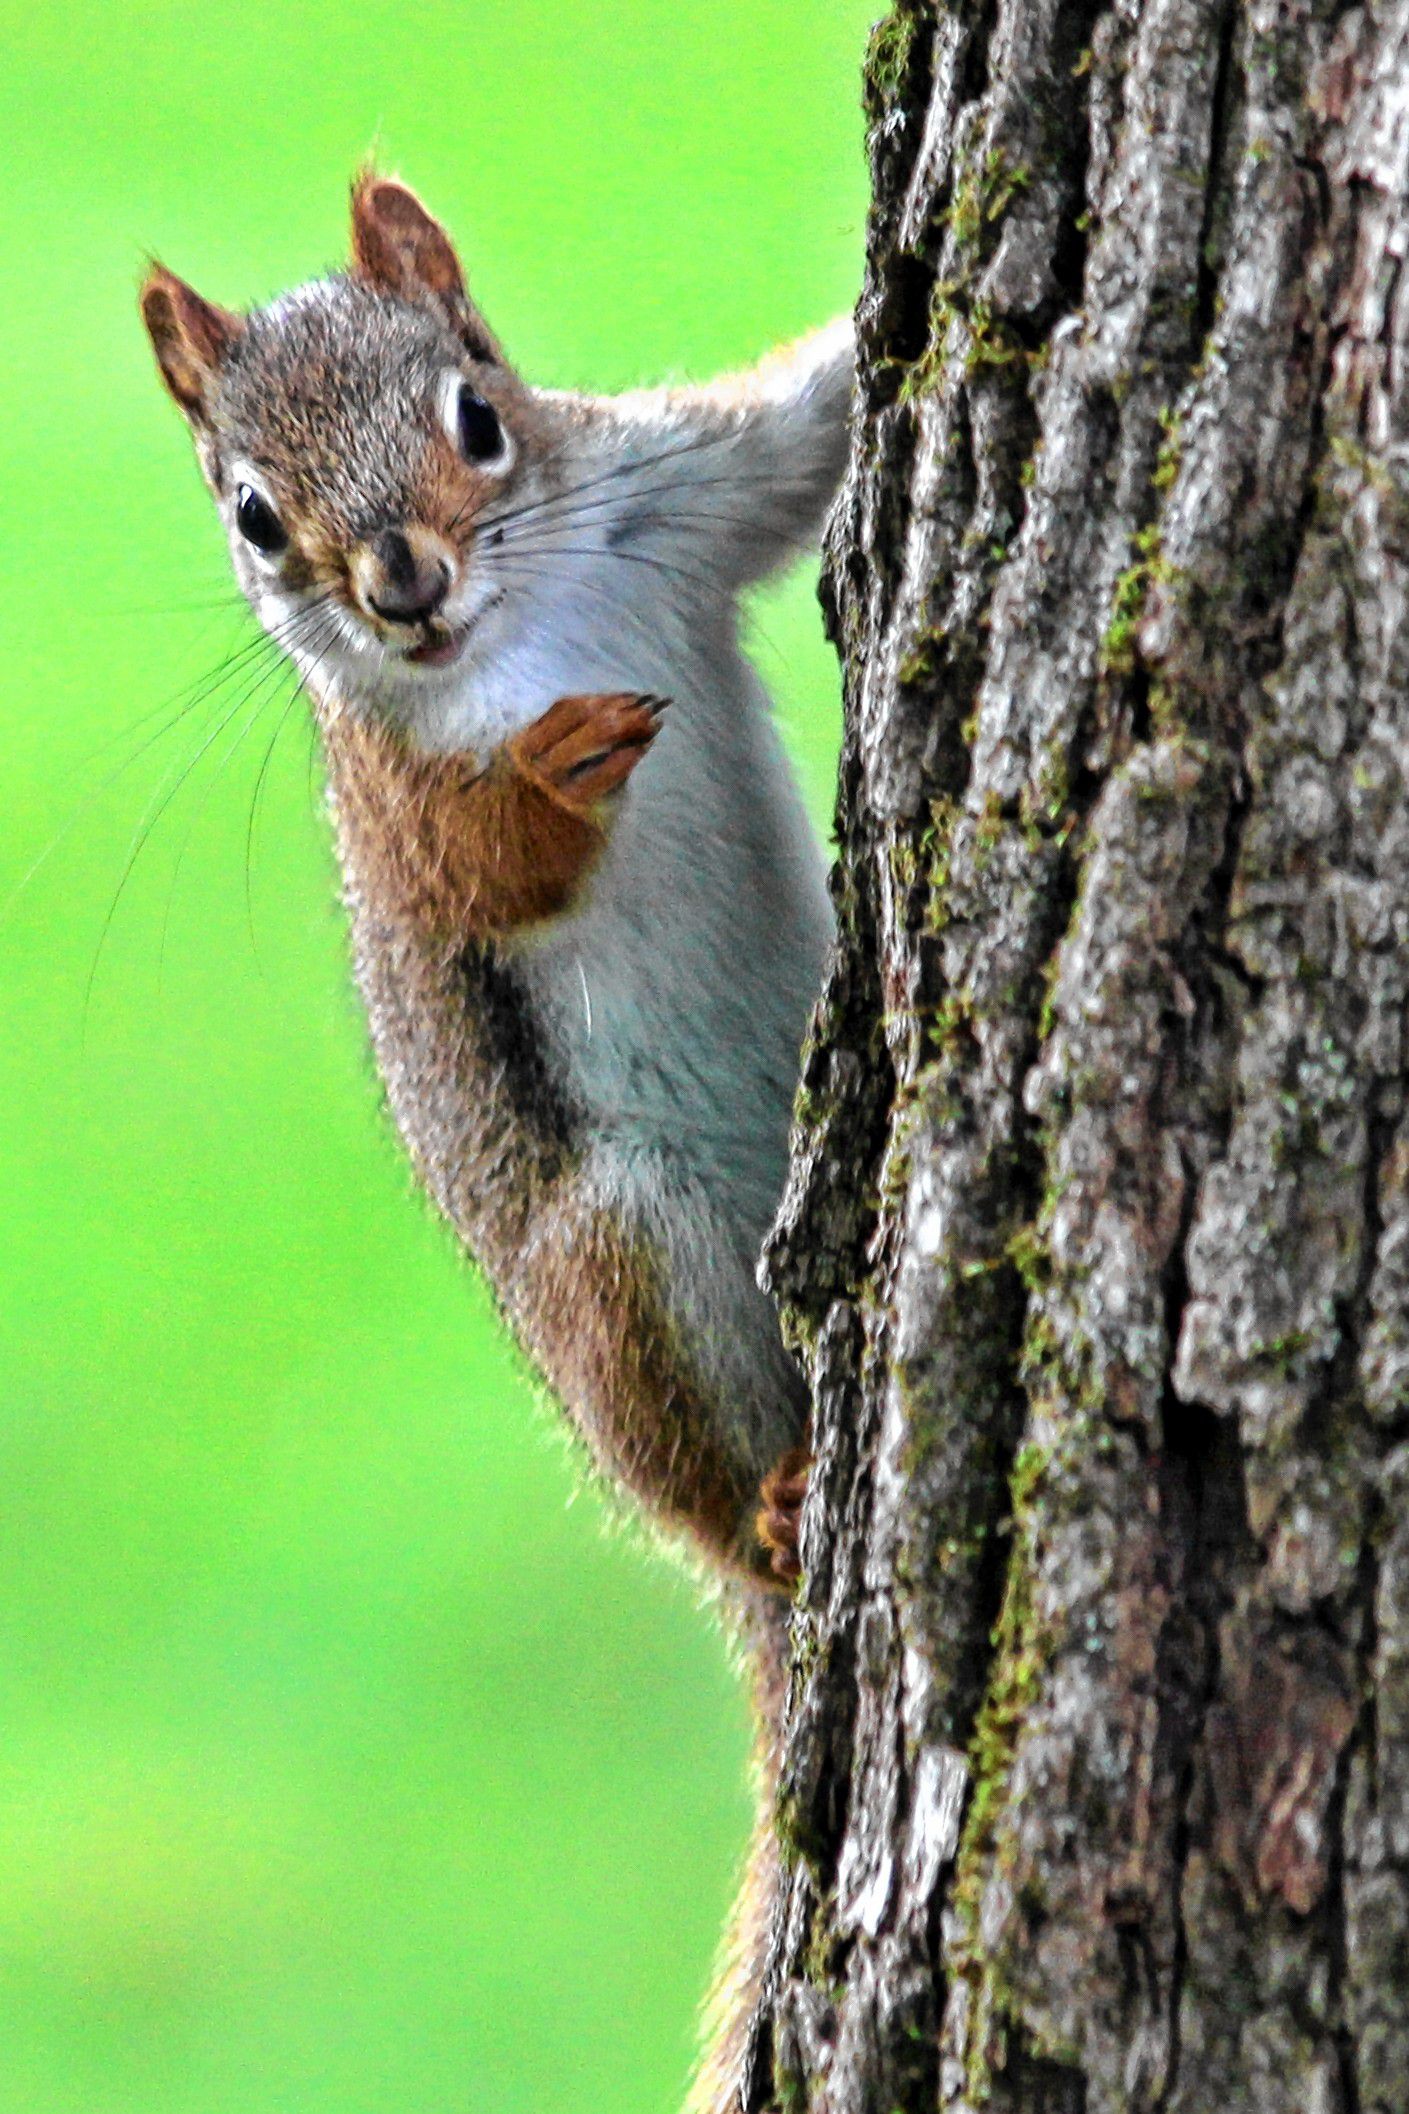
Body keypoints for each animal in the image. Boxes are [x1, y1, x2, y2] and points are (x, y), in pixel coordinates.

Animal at [143, 173, 853, 2105]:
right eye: (253, 515)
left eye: (475, 410)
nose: (401, 589)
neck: (523, 625)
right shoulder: (393, 801)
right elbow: (486, 865)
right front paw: (556, 767)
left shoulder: (681, 485)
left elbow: (815, 420)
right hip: (625, 1254)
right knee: (700, 1477)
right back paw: (766, 1500)